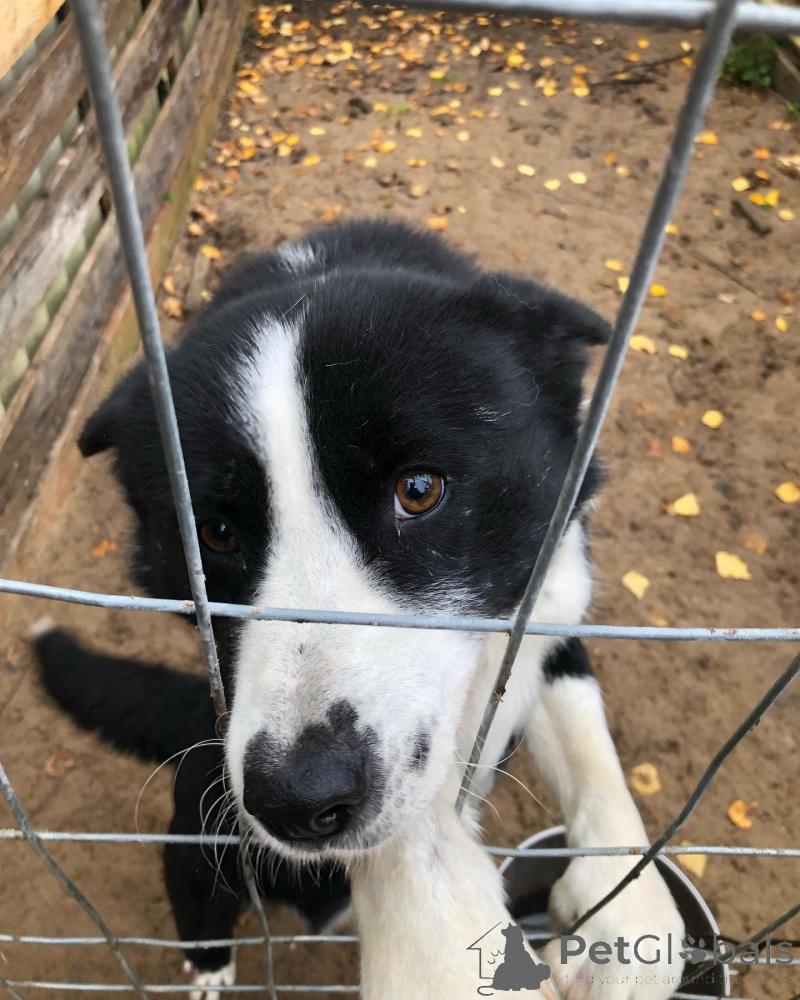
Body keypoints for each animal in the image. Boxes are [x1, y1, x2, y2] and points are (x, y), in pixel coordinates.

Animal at [36, 219, 683, 998]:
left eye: (419, 490)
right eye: (215, 533)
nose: (294, 802)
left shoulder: (550, 588)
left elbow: (583, 739)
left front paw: (626, 914)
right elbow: (417, 818)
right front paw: (440, 947)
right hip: (201, 839)